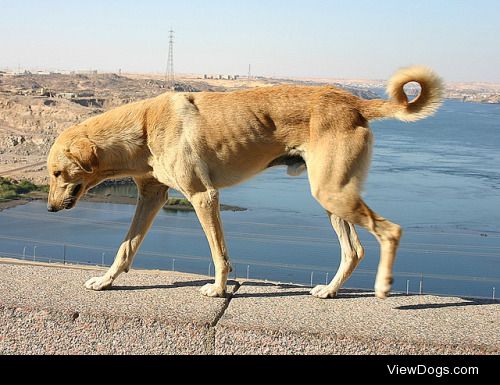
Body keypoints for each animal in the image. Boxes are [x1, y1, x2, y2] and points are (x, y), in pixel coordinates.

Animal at [48, 66, 444, 298]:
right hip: (333, 196)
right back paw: (330, 290)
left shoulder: (203, 196)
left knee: (390, 231)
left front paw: (219, 289)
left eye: (56, 173)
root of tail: (354, 101)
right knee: (354, 250)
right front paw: (105, 281)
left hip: (332, 192)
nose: (50, 208)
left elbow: (219, 253)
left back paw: (383, 286)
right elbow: (126, 247)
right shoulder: (151, 196)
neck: (144, 125)